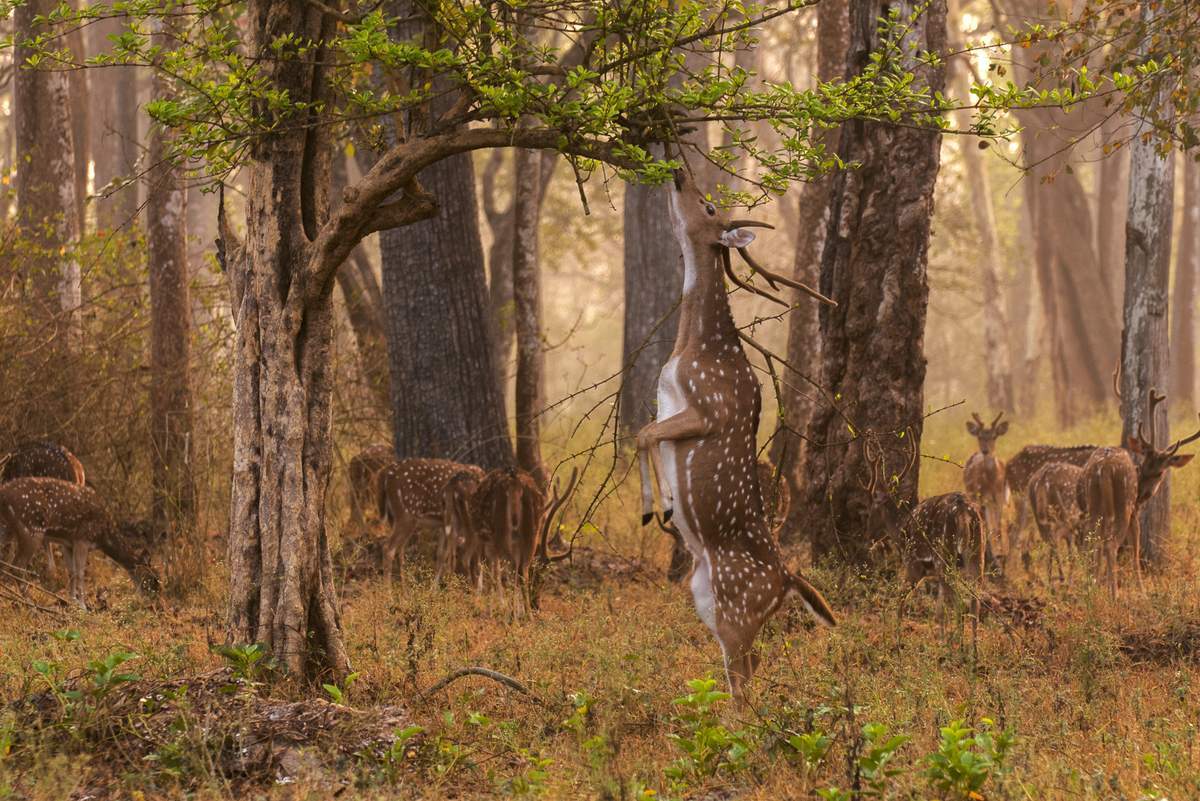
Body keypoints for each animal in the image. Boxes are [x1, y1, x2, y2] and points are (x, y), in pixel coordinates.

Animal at [0, 474, 163, 606]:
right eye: (152, 578)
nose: (155, 601)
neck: (103, 536)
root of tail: (4, 494)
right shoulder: (82, 539)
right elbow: (80, 573)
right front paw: (83, 606)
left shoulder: (68, 543)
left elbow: (71, 571)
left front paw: (72, 601)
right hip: (32, 529)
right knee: (17, 568)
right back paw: (31, 603)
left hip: (8, 529)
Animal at [633, 165, 840, 705]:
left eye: (708, 207)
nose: (677, 172)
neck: (693, 348)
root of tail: (789, 581)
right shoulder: (668, 405)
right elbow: (645, 433)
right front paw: (662, 505)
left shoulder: (710, 408)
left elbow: (645, 435)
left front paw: (658, 505)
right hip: (706, 598)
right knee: (747, 670)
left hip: (736, 606)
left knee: (746, 678)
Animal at [960, 410, 1008, 565]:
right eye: (980, 436)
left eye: (994, 436)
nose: (985, 450)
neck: (992, 482)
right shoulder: (982, 497)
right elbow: (987, 525)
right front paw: (994, 553)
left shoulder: (1000, 499)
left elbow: (998, 528)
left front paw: (1002, 553)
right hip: (975, 496)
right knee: (984, 522)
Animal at [1080, 383, 1200, 597]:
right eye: (1153, 470)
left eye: (1159, 471)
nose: (1145, 493)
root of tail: (1103, 468)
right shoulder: (1134, 512)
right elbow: (1135, 551)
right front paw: (1142, 592)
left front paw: (1097, 582)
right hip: (1124, 504)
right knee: (1111, 544)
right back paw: (1115, 594)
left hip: (1094, 503)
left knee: (1091, 540)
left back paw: (1088, 587)